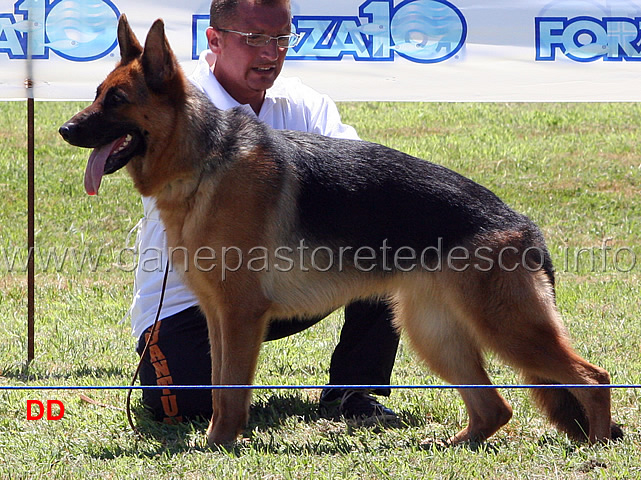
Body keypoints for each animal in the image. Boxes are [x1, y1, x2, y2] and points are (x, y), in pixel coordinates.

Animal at [58, 15, 620, 450]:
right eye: (97, 95)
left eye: (116, 100)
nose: (64, 130)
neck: (204, 160)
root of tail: (523, 224)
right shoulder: (220, 317)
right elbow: (219, 386)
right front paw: (220, 439)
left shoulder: (240, 314)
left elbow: (230, 390)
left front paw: (218, 444)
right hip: (436, 335)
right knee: (496, 409)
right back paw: (454, 444)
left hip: (506, 328)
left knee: (594, 378)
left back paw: (594, 447)